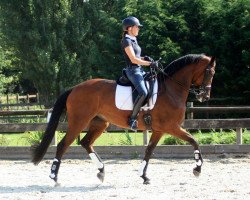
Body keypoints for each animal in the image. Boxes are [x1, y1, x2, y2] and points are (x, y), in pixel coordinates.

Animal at [30, 53, 215, 184]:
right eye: (209, 72)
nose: (205, 96)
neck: (170, 90)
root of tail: (75, 88)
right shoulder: (172, 127)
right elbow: (194, 141)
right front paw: (197, 168)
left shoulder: (159, 130)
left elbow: (149, 151)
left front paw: (143, 176)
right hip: (78, 122)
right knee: (63, 145)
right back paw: (54, 177)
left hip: (100, 123)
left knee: (86, 142)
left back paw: (101, 171)